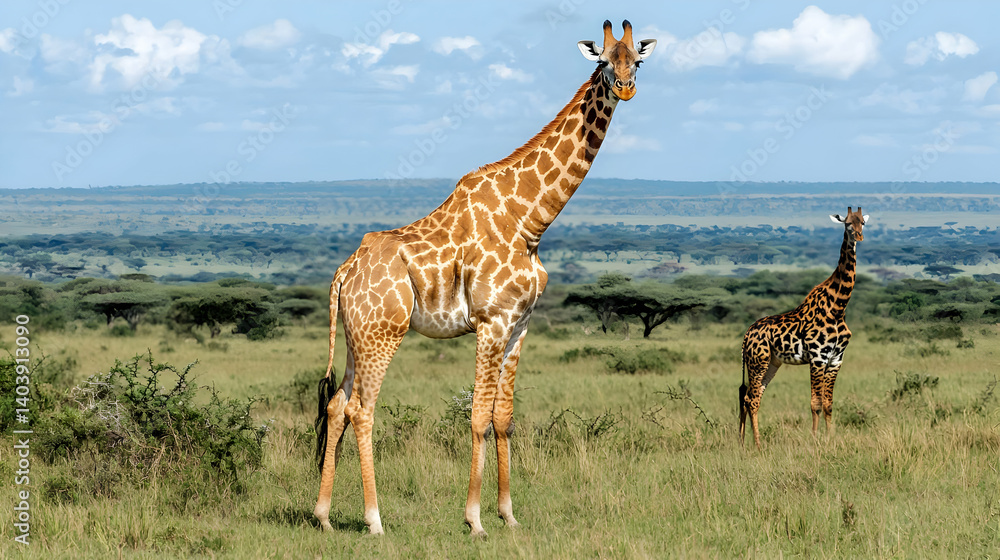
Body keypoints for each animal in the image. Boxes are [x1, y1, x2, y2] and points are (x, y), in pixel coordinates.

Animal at [312, 20, 656, 536]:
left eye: (636, 60)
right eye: (601, 62)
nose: (625, 88)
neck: (530, 219)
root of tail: (345, 270)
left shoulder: (519, 324)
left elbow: (504, 416)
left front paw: (508, 514)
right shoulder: (491, 321)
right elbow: (477, 416)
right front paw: (474, 520)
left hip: (357, 335)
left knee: (336, 406)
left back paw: (323, 515)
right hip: (382, 334)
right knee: (361, 409)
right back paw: (374, 520)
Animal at [739, 207, 869, 448]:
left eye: (863, 222)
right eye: (847, 223)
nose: (859, 236)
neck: (838, 307)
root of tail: (746, 335)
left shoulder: (836, 359)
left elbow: (828, 404)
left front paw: (830, 439)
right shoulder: (817, 358)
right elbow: (815, 403)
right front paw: (815, 441)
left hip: (771, 363)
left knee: (749, 395)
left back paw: (742, 442)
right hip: (757, 361)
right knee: (751, 398)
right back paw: (758, 445)